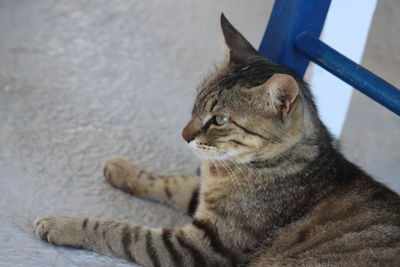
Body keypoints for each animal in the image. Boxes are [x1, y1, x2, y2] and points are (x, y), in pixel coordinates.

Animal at [34, 13, 400, 266]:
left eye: (220, 119)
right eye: (195, 104)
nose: (184, 135)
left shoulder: (202, 246)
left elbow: (121, 232)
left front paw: (62, 224)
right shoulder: (201, 195)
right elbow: (171, 183)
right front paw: (123, 169)